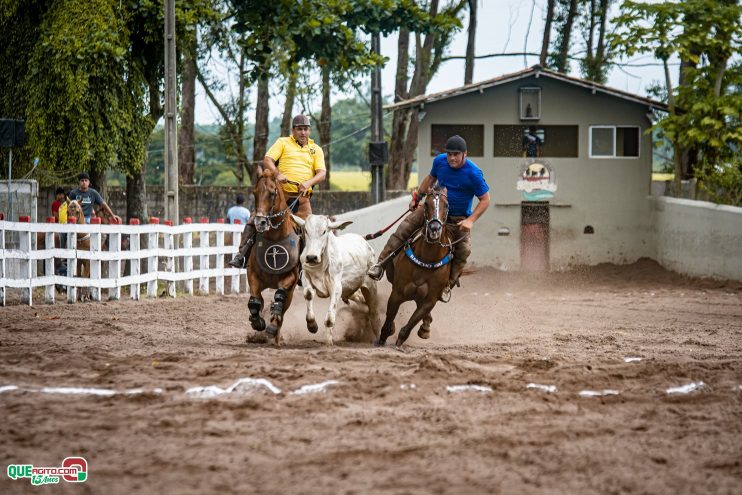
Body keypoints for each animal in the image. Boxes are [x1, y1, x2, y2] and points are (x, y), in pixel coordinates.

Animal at [246, 170, 300, 344]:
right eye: (255, 192)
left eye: (271, 193)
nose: (260, 222)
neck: (275, 238)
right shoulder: (253, 275)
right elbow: (254, 301)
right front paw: (257, 322)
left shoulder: (290, 278)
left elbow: (279, 297)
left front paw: (272, 326)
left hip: (290, 292)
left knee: (282, 305)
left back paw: (276, 334)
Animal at [292, 213, 380, 344]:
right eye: (306, 230)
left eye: (324, 231)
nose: (311, 257)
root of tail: (365, 242)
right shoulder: (305, 275)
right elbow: (308, 294)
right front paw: (312, 325)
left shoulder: (337, 287)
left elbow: (329, 319)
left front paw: (328, 342)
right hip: (351, 290)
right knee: (361, 301)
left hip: (370, 285)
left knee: (373, 311)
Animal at [378, 186, 454, 348]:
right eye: (426, 204)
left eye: (446, 205)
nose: (434, 228)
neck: (427, 259)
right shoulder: (397, 293)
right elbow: (388, 319)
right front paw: (381, 339)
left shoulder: (429, 301)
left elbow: (410, 324)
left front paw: (399, 343)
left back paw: (425, 328)